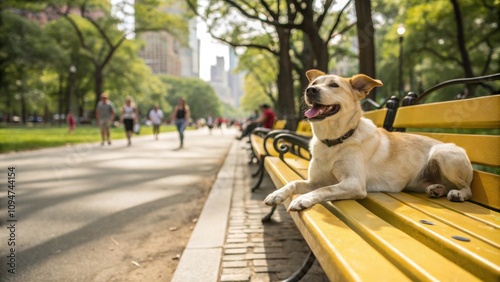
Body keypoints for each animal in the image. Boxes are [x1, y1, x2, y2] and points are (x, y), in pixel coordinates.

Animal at [264, 70, 474, 212]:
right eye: (315, 82)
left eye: (334, 85)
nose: (310, 90)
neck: (335, 140)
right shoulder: (314, 180)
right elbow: (294, 182)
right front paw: (277, 194)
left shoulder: (354, 183)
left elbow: (326, 189)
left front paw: (303, 199)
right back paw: (436, 188)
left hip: (443, 155)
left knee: (467, 189)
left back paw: (458, 194)